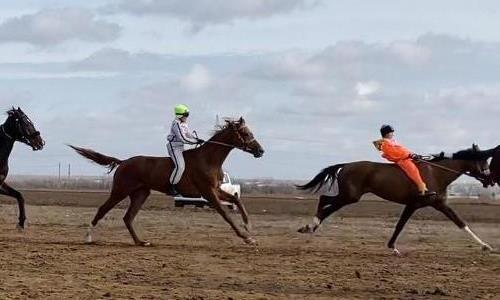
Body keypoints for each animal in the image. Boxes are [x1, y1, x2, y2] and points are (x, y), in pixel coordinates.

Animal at [72, 117, 266, 246]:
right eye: (246, 133)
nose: (261, 151)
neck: (209, 159)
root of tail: (123, 162)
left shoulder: (216, 189)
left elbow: (236, 199)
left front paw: (248, 227)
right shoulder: (208, 192)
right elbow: (226, 214)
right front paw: (246, 237)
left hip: (141, 194)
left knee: (128, 218)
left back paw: (140, 242)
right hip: (120, 191)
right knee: (103, 209)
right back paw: (88, 237)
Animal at [298, 145, 494, 255]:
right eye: (484, 162)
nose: (491, 180)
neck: (436, 173)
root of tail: (345, 165)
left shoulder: (438, 204)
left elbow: (461, 223)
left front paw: (486, 246)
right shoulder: (414, 204)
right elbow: (400, 225)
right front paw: (393, 247)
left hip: (348, 196)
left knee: (325, 202)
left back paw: (309, 227)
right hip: (349, 196)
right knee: (325, 201)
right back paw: (311, 226)